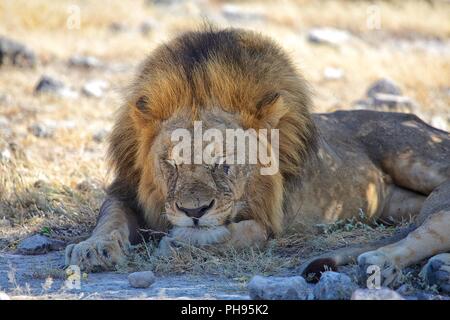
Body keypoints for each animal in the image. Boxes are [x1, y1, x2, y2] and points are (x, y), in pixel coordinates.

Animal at [64, 28, 450, 290]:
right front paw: (92, 249)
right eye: (170, 164)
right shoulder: (125, 191)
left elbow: (235, 233)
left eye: (223, 162)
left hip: (418, 157)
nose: (193, 211)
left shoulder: (267, 221)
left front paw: (180, 242)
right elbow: (110, 218)